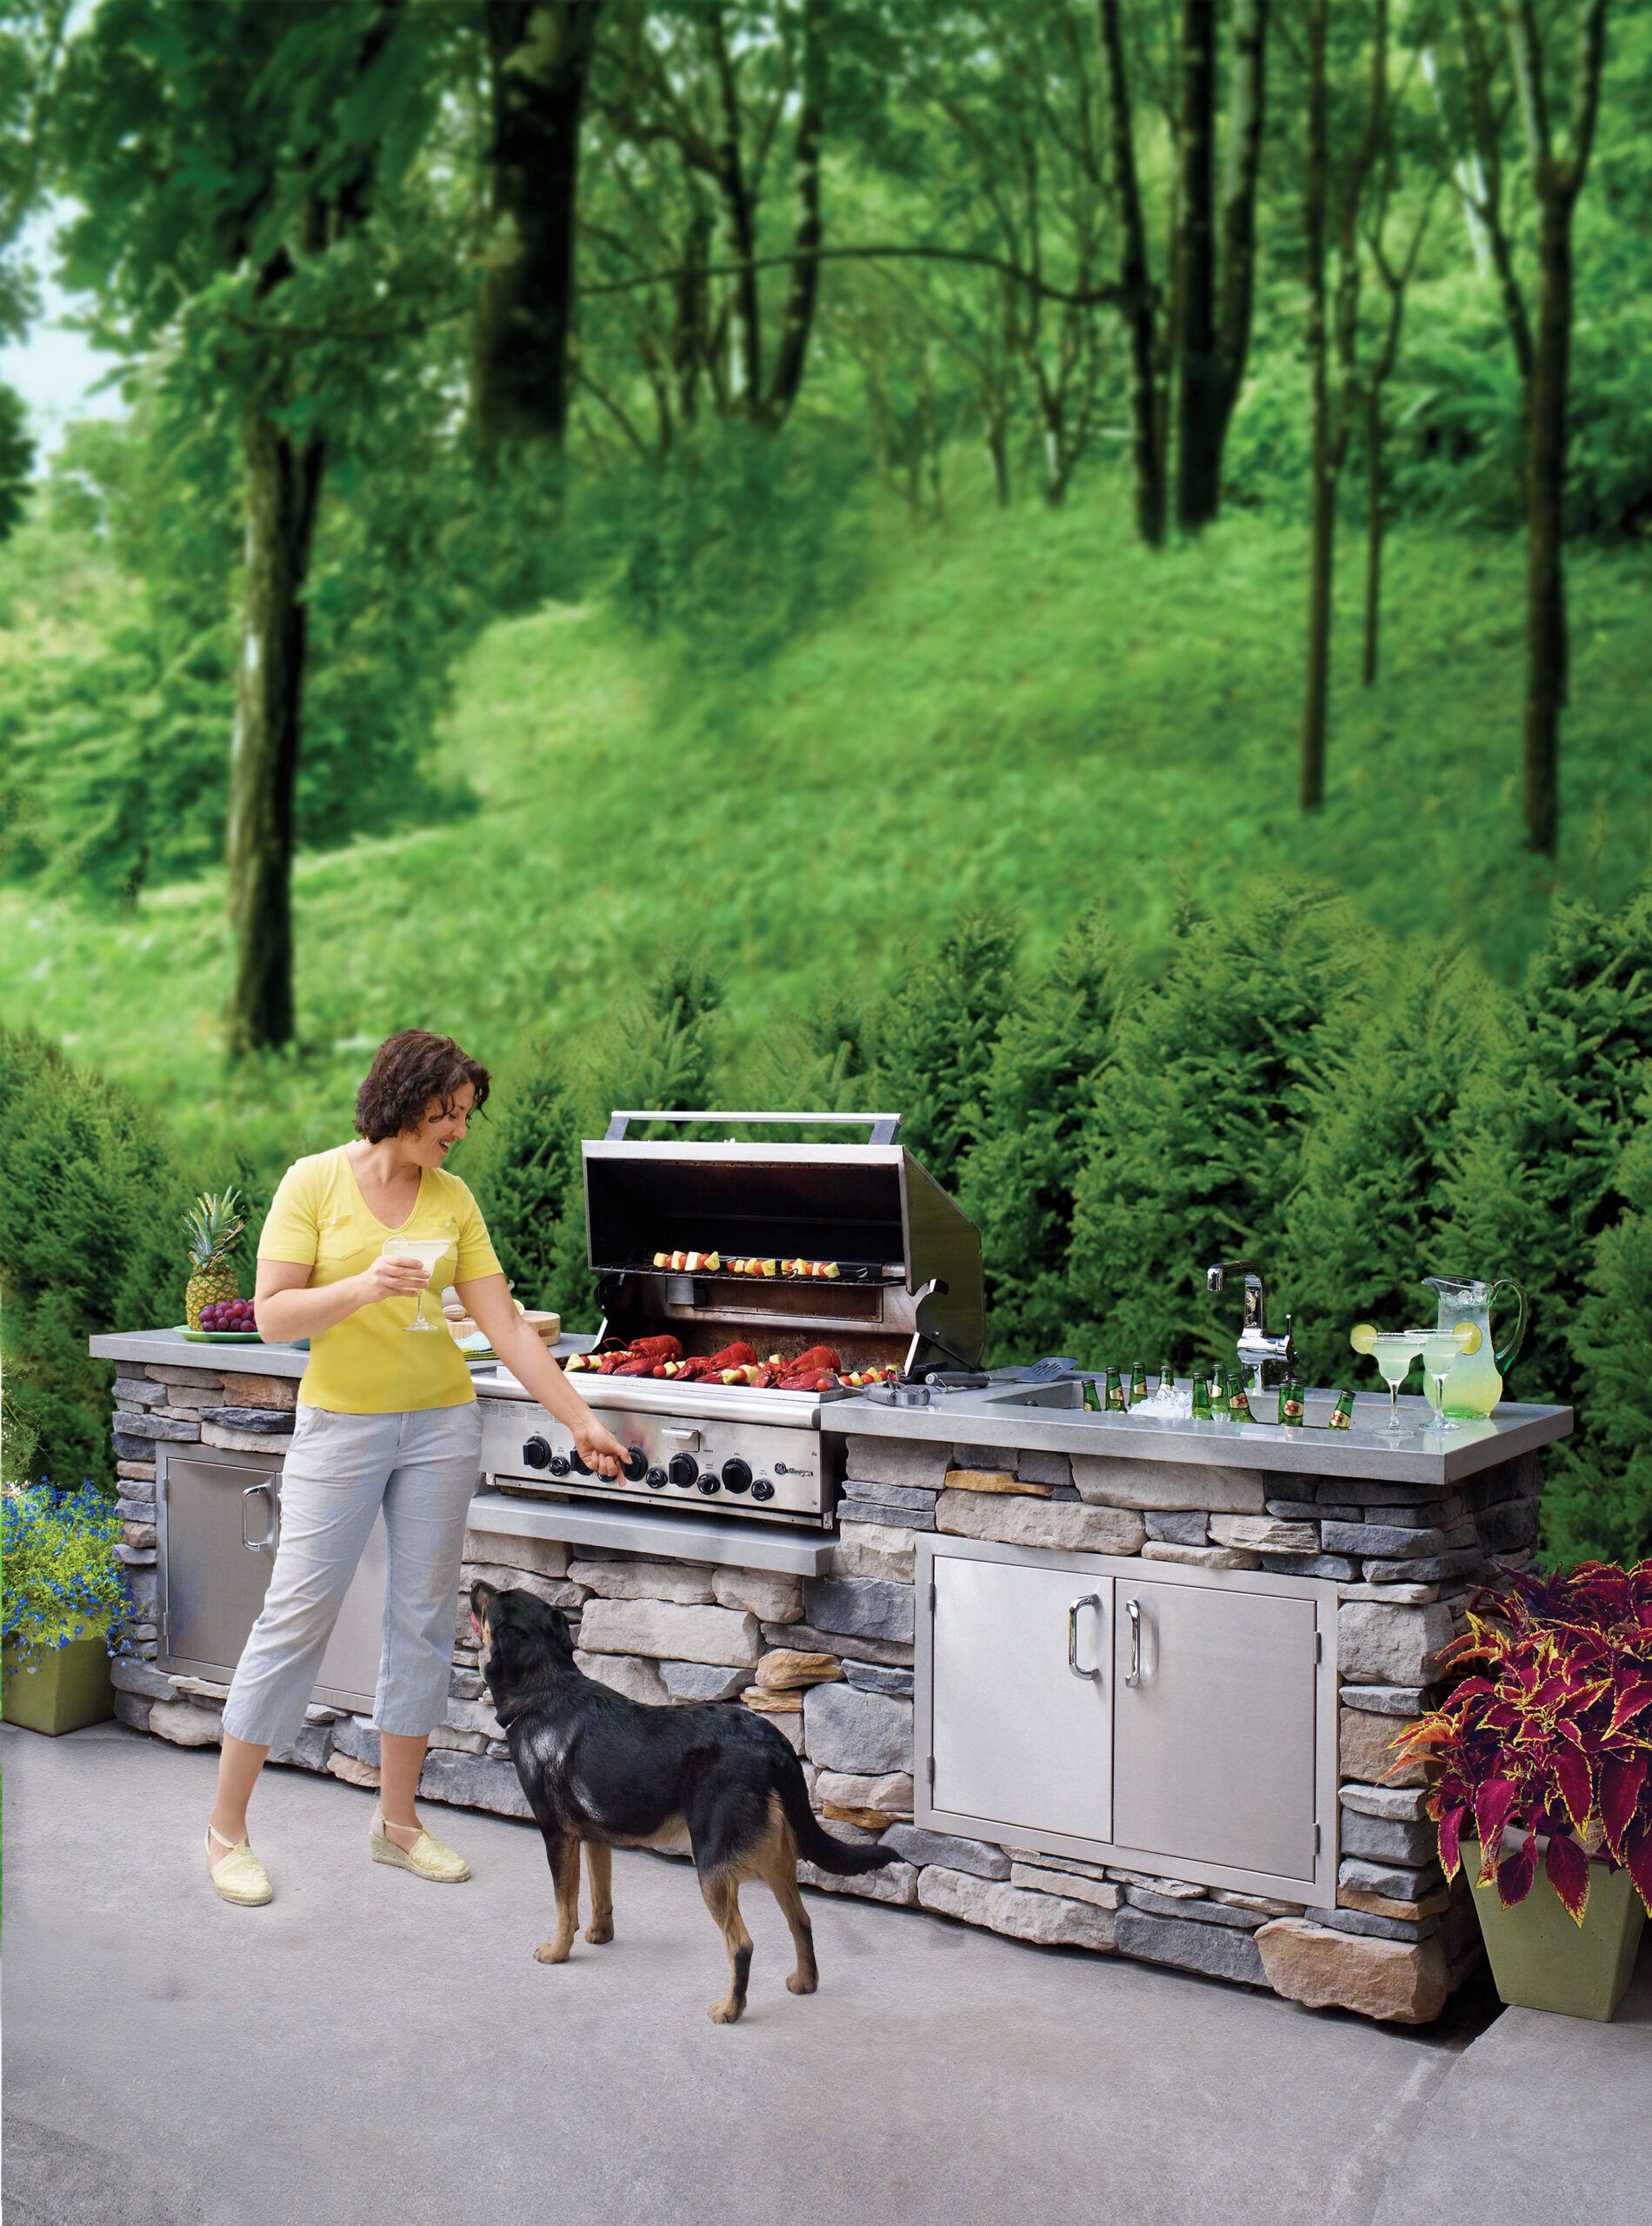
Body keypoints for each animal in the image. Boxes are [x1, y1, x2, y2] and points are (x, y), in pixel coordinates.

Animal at [471, 1576, 899, 2029]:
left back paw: (729, 2010)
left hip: (711, 1864)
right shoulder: (596, 1838)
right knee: (800, 1919)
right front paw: (600, 1936)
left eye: (492, 1600)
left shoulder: (557, 1834)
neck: (545, 1687)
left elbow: (564, 1906)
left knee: (742, 1944)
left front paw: (556, 1952)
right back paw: (804, 1982)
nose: (476, 1582)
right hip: (776, 1858)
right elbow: (600, 1895)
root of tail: (772, 1743)